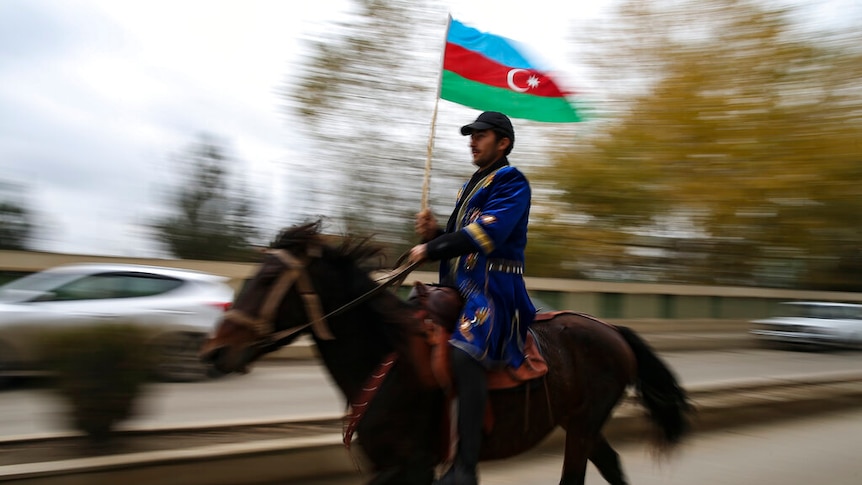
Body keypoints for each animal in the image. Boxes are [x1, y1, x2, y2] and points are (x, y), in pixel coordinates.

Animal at [199, 221, 692, 482]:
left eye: (266, 279)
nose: (214, 351)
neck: (387, 356)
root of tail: (612, 330)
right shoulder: (390, 465)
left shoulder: (410, 464)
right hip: (580, 424)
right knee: (610, 463)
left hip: (583, 425)